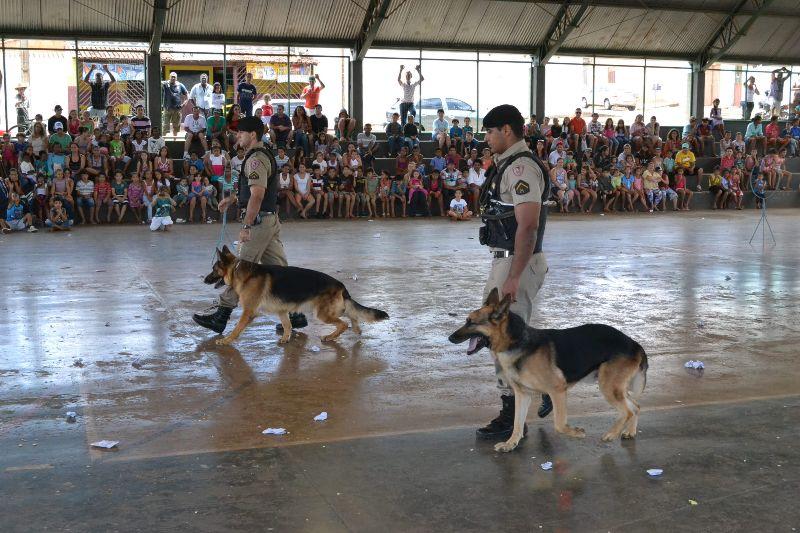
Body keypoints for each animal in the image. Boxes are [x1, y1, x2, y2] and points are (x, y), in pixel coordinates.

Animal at [200, 245, 388, 344]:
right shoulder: (282, 311)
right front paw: (285, 338)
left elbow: (237, 328)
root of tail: (341, 285)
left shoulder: (248, 312)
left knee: (343, 323)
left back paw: (330, 336)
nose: (204, 280)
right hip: (332, 310)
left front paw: (226, 340)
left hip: (322, 313)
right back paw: (356, 328)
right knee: (352, 314)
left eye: (213, 269)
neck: (241, 272)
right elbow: (288, 325)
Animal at [446, 288, 648, 450]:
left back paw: (611, 434)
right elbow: (517, 424)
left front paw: (576, 432)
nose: (450, 338)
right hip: (614, 387)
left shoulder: (557, 391)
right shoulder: (523, 395)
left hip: (607, 387)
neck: (518, 342)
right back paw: (630, 432)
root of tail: (634, 343)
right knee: (636, 406)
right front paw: (511, 444)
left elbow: (559, 424)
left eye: (471, 322)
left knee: (627, 411)